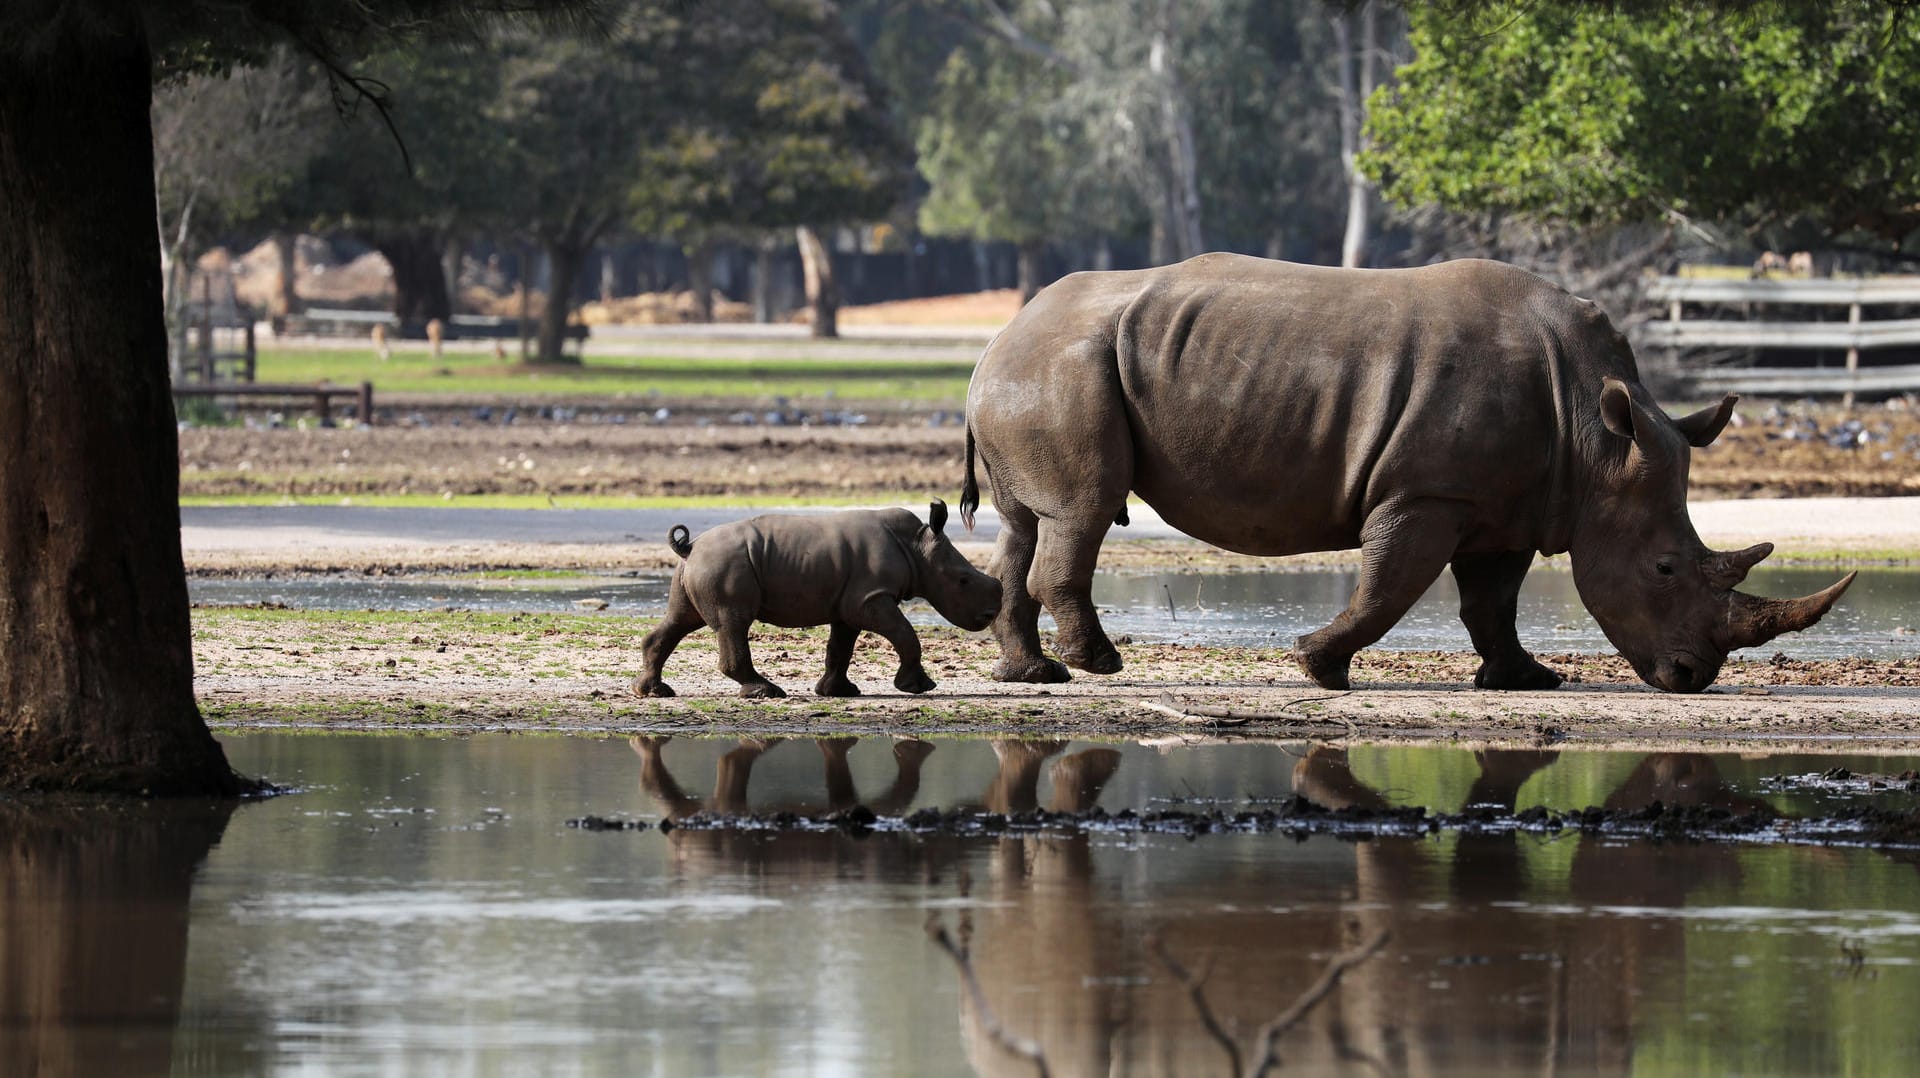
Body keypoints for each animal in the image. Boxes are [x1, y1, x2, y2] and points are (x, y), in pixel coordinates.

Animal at [633, 503, 1006, 703]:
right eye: (963, 581)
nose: (990, 614)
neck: (917, 548)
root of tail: (689, 547)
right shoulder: (871, 597)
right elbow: (905, 634)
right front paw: (918, 688)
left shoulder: (851, 603)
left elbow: (841, 647)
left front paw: (838, 692)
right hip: (723, 563)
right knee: (733, 623)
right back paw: (767, 692)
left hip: (702, 566)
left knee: (681, 620)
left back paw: (653, 692)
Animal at [967, 251, 1850, 687]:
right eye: (1665, 568)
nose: (1693, 676)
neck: (1595, 439)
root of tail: (998, 337)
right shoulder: (1428, 491)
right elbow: (1388, 587)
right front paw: (1319, 666)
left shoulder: (1510, 501)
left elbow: (1493, 599)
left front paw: (1527, 682)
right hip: (1061, 366)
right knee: (1082, 510)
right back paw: (1099, 665)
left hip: (1041, 365)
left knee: (1022, 524)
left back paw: (1035, 676)